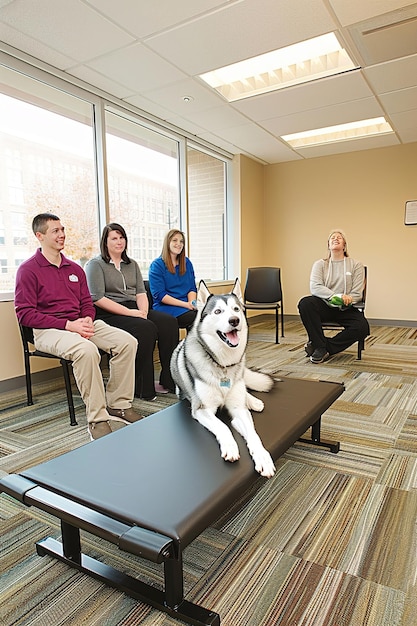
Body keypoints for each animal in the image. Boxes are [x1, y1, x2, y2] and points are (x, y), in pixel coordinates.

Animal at [171, 280, 274, 478]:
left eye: (236, 309)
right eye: (218, 311)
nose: (234, 320)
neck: (223, 365)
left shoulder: (238, 409)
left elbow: (253, 434)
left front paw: (263, 458)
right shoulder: (202, 409)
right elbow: (223, 426)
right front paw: (231, 447)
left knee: (244, 388)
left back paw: (254, 401)